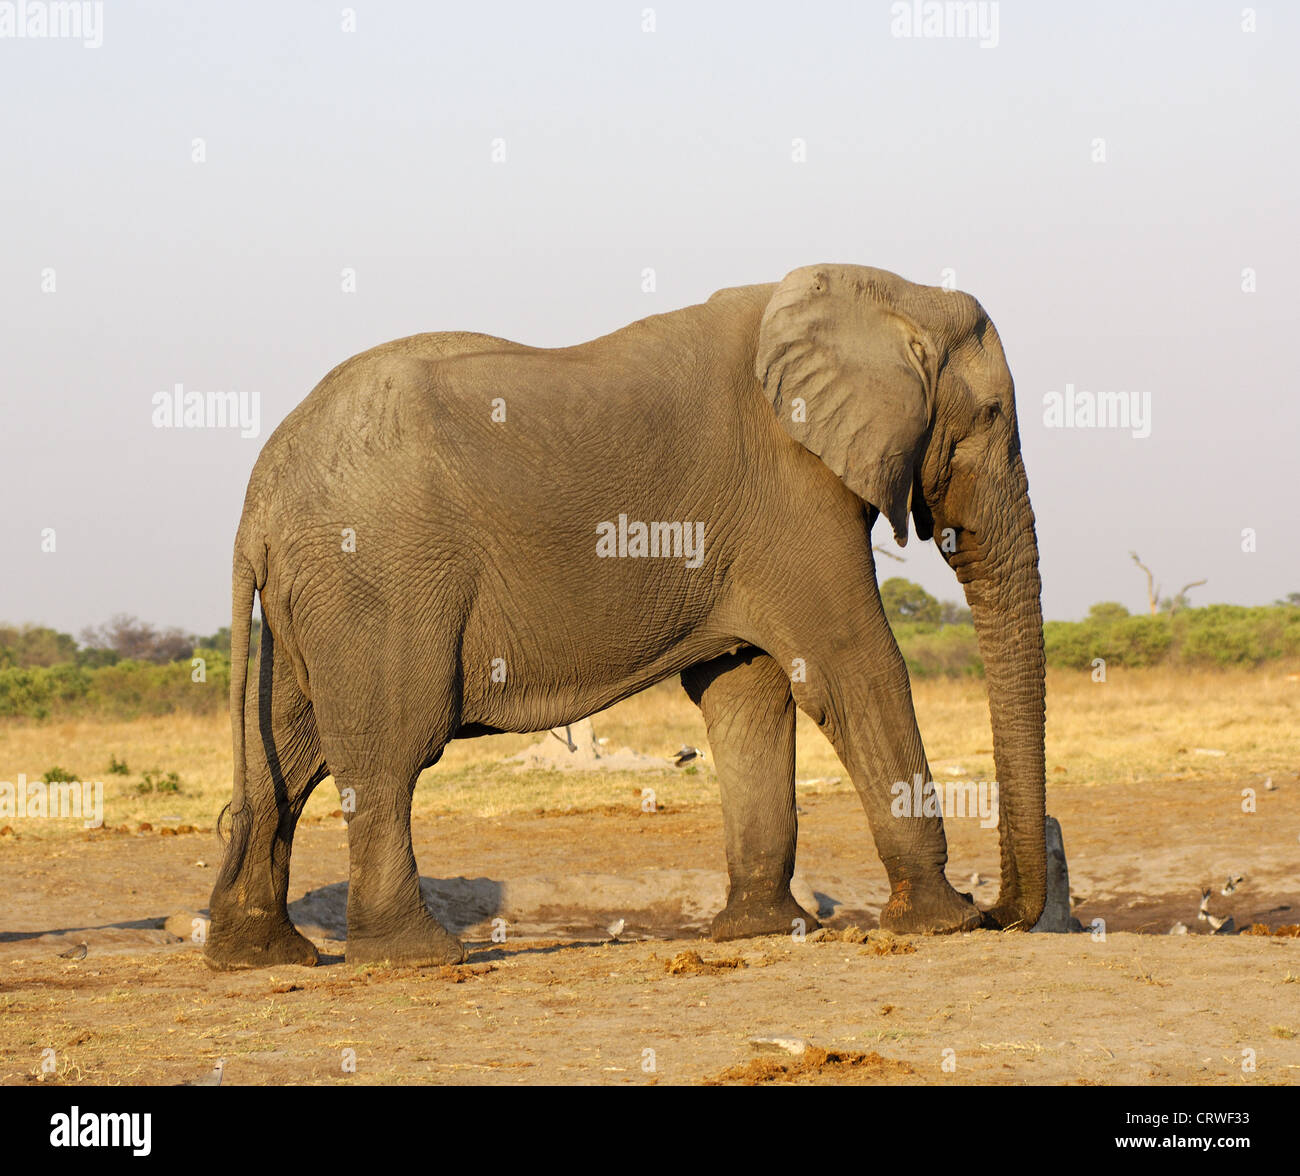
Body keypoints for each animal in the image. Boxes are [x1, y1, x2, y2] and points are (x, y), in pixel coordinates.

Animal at [205, 261, 1055, 966]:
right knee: (390, 753)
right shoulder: (793, 494)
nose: (1002, 909)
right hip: (376, 577)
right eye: (990, 413)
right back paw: (422, 957)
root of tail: (256, 501)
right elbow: (855, 667)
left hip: (316, 596)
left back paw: (259, 957)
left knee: (285, 749)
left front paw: (759, 931)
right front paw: (945, 922)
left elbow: (745, 693)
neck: (881, 292)